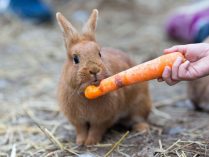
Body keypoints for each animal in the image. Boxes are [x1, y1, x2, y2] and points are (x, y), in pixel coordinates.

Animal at [56, 9, 151, 145]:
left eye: (99, 54)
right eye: (75, 59)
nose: (94, 70)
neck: (86, 94)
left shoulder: (103, 119)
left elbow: (96, 130)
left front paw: (91, 142)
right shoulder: (77, 120)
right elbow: (81, 130)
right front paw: (80, 142)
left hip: (140, 104)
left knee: (139, 118)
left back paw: (142, 128)